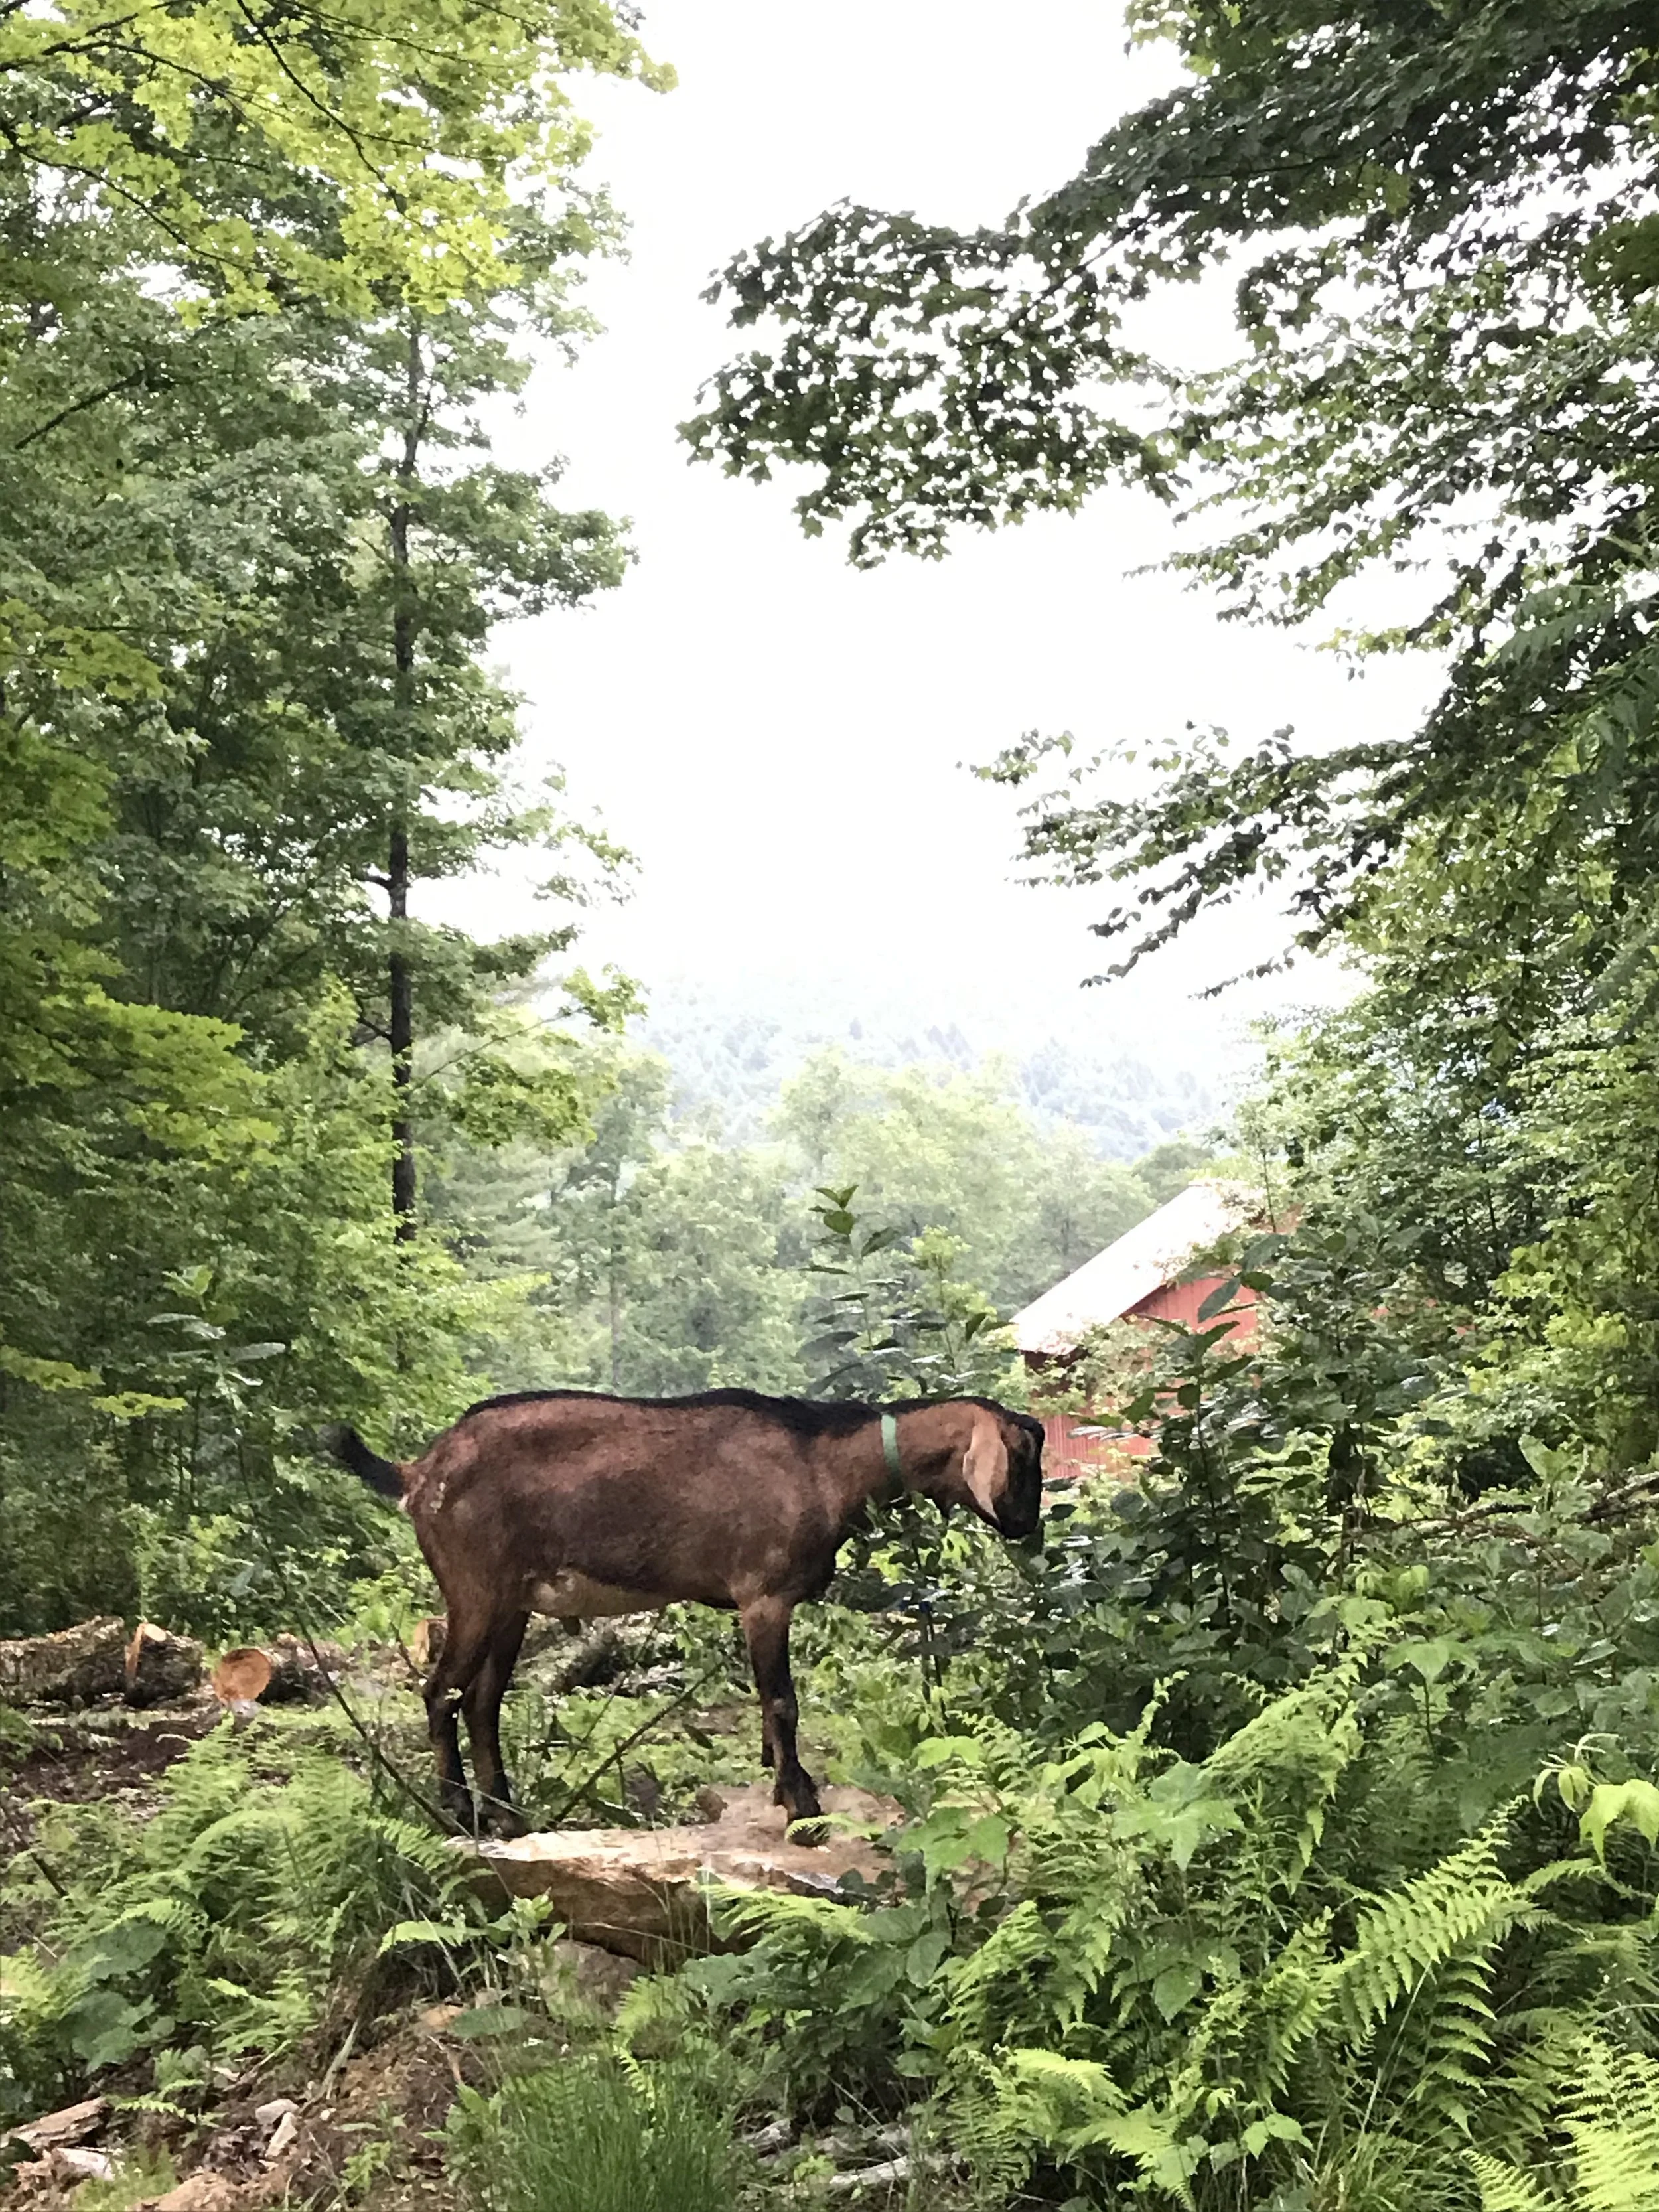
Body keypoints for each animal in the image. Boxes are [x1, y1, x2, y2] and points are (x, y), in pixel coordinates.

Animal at [325, 1387, 1043, 1839]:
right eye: (1023, 1460)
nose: (1027, 1529)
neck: (824, 1463)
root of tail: (419, 1471)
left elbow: (767, 1708)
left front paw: (781, 1789)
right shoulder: (764, 1597)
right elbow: (782, 1702)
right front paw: (803, 1809)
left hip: (511, 1604)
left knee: (480, 1702)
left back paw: (507, 1817)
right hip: (474, 1588)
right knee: (440, 1692)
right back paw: (459, 1814)